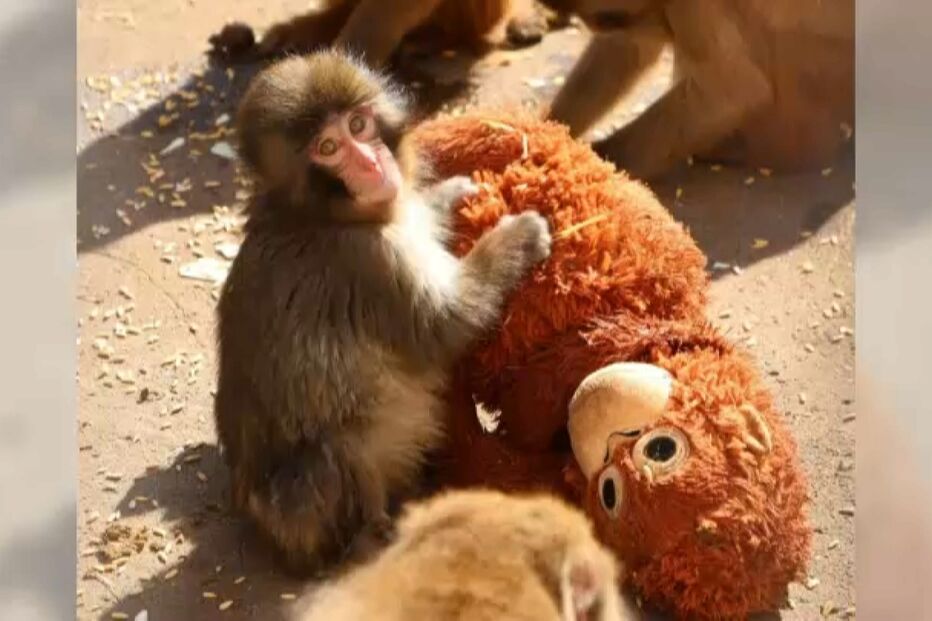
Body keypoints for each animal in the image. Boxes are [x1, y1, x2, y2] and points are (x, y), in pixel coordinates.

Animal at [214, 50, 552, 575]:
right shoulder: (369, 262)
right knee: (335, 450)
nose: (372, 163)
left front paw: (449, 195)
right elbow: (445, 325)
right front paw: (516, 239)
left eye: (359, 124)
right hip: (302, 514)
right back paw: (374, 537)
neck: (320, 215)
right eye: (329, 147)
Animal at [536, 0, 854, 179]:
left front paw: (595, 164)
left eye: (605, 17)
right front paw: (545, 130)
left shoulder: (694, 4)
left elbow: (733, 92)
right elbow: (629, 48)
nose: (598, 24)